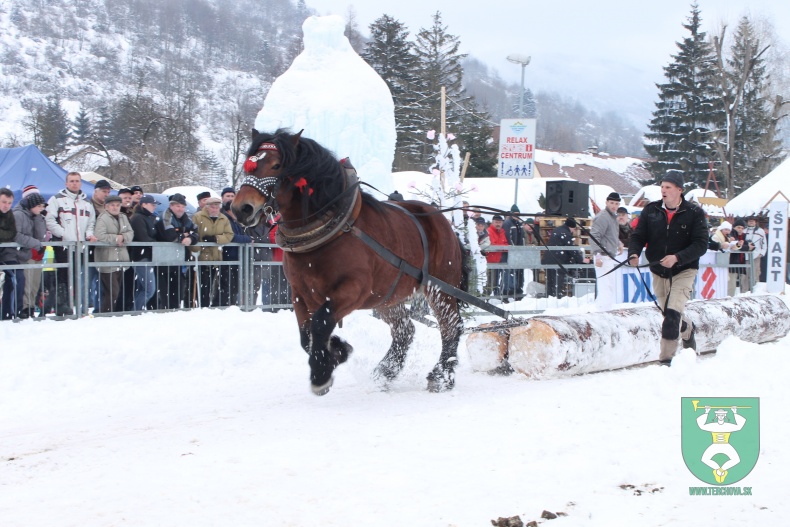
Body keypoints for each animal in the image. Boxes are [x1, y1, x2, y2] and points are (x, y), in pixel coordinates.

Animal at [229, 130, 464, 396]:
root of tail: (444, 221)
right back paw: (385, 372)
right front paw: (338, 350)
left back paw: (442, 376)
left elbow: (320, 324)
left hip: (440, 288)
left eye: (277, 165)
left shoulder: (353, 290)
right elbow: (306, 335)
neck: (332, 227)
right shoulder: (299, 293)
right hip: (387, 297)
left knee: (451, 326)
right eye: (250, 163)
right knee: (405, 330)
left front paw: (322, 372)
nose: (241, 208)